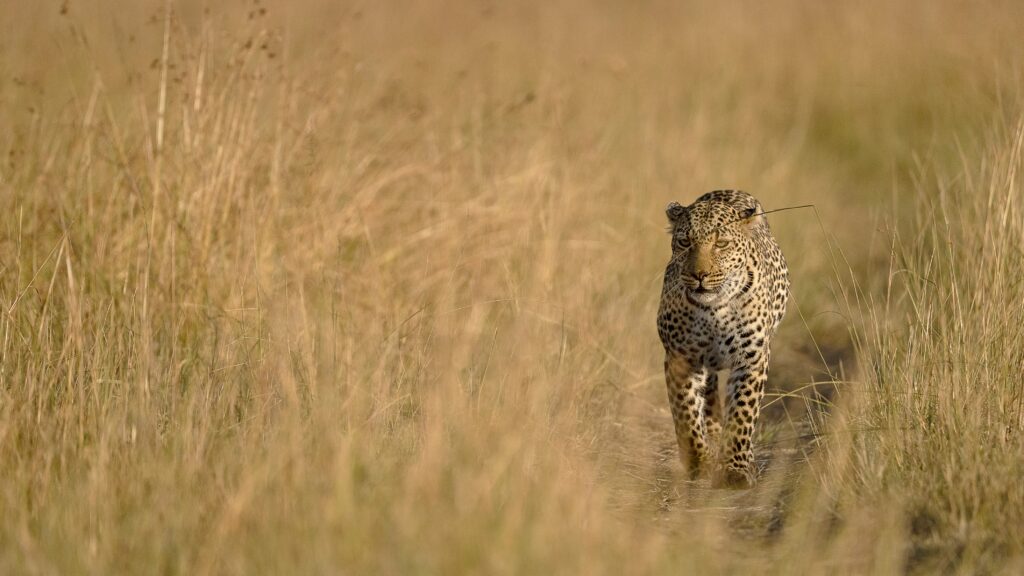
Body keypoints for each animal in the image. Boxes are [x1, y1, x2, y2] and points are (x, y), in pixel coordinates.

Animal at [657, 190, 789, 488]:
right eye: (684, 242)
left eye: (722, 243)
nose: (699, 276)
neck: (713, 310)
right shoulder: (681, 358)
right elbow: (686, 414)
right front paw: (699, 463)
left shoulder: (752, 359)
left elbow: (742, 413)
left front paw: (735, 468)